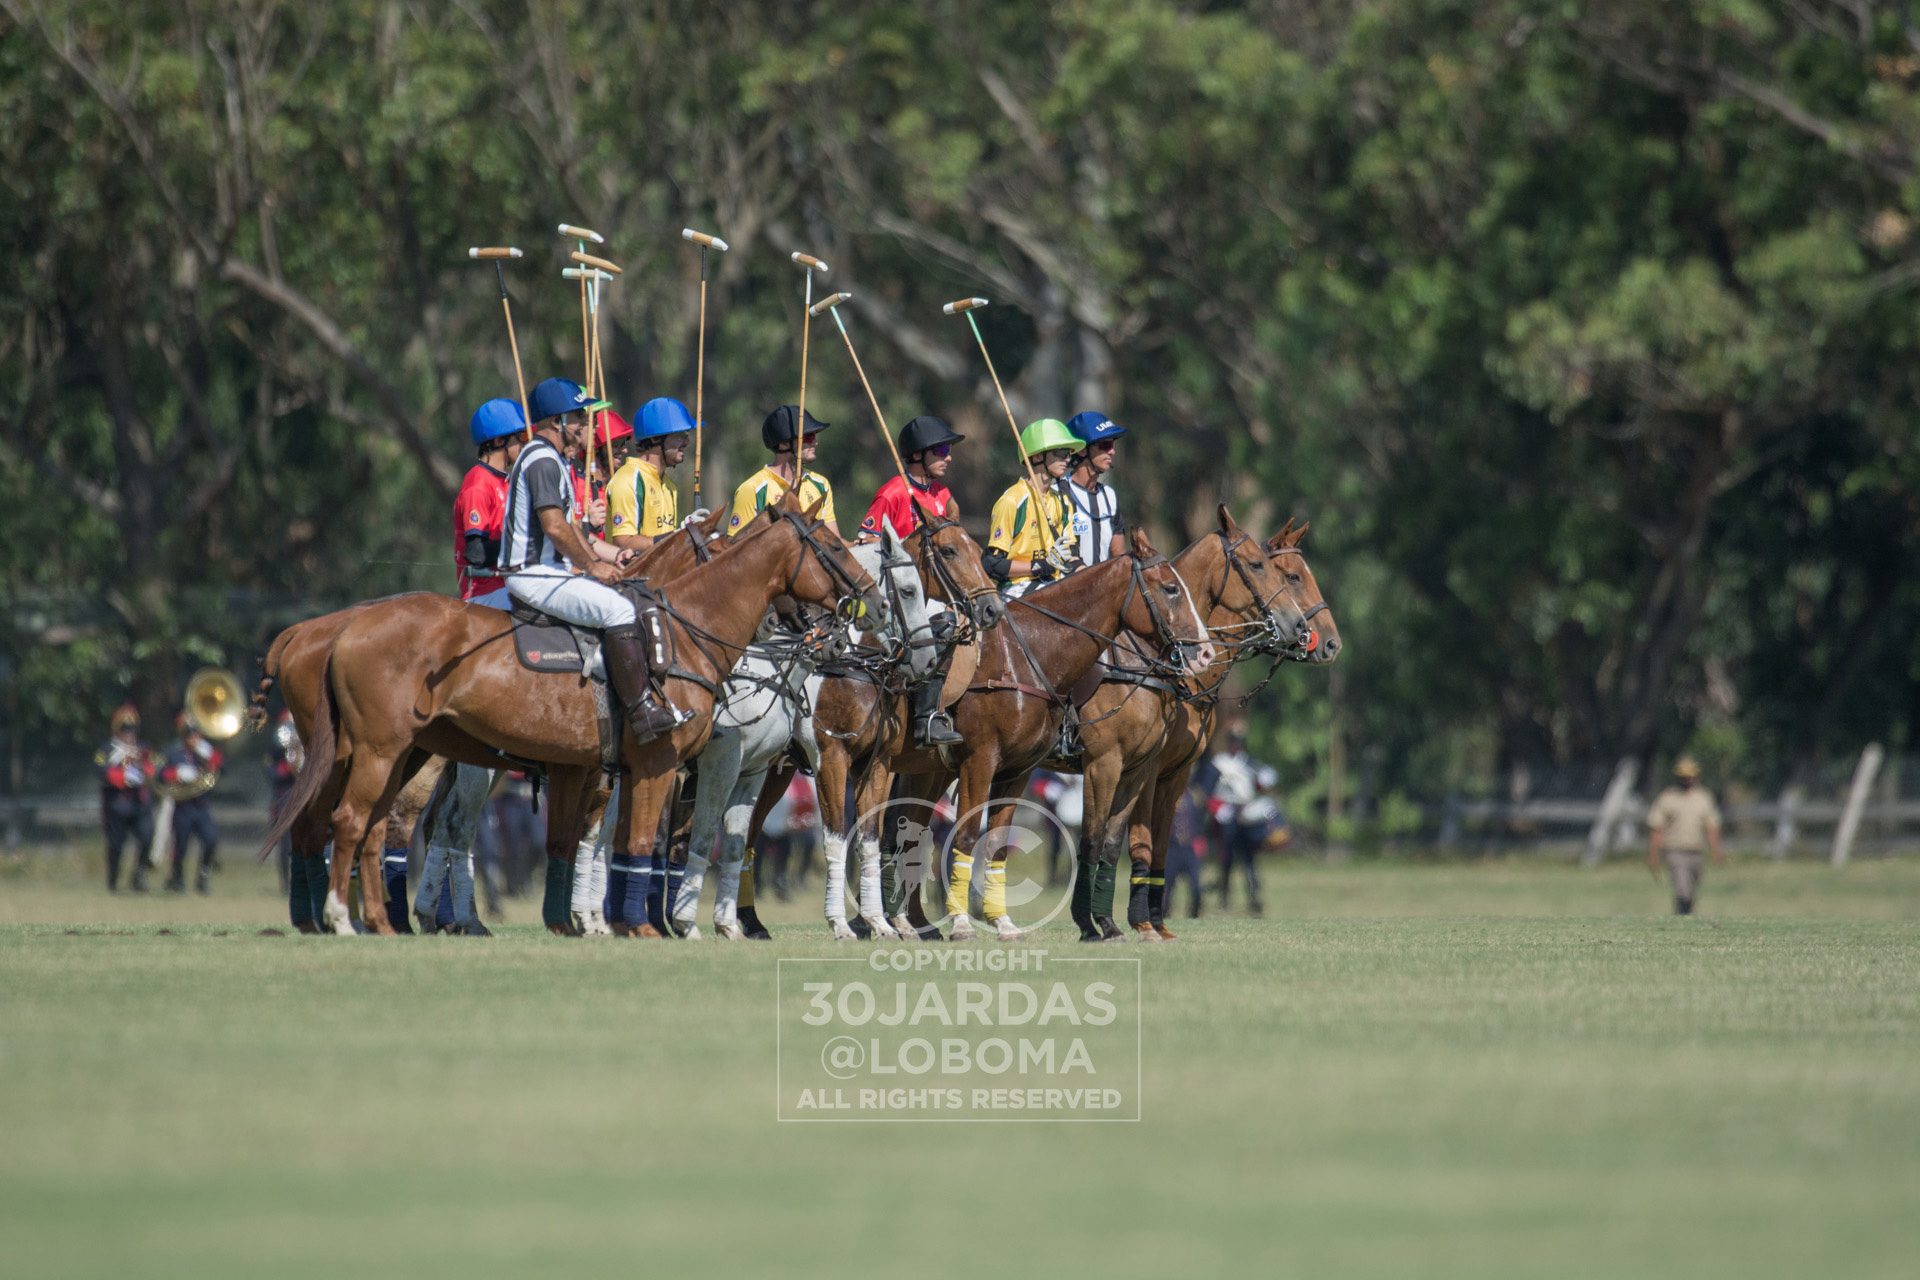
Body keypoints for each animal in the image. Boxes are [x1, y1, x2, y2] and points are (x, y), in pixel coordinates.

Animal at [1121, 521, 1336, 940]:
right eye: (1291, 576)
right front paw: (1140, 923)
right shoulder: (1144, 767)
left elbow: (1160, 845)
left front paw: (1157, 922)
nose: (1330, 643)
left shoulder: (1177, 772)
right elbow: (1139, 840)